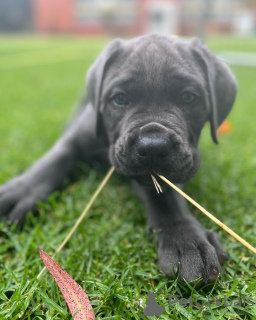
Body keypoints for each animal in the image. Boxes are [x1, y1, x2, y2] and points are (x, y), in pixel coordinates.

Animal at [0, 34, 236, 282]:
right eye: (120, 99)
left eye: (189, 97)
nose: (153, 146)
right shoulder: (76, 138)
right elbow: (52, 162)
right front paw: (18, 193)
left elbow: (166, 197)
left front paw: (186, 238)